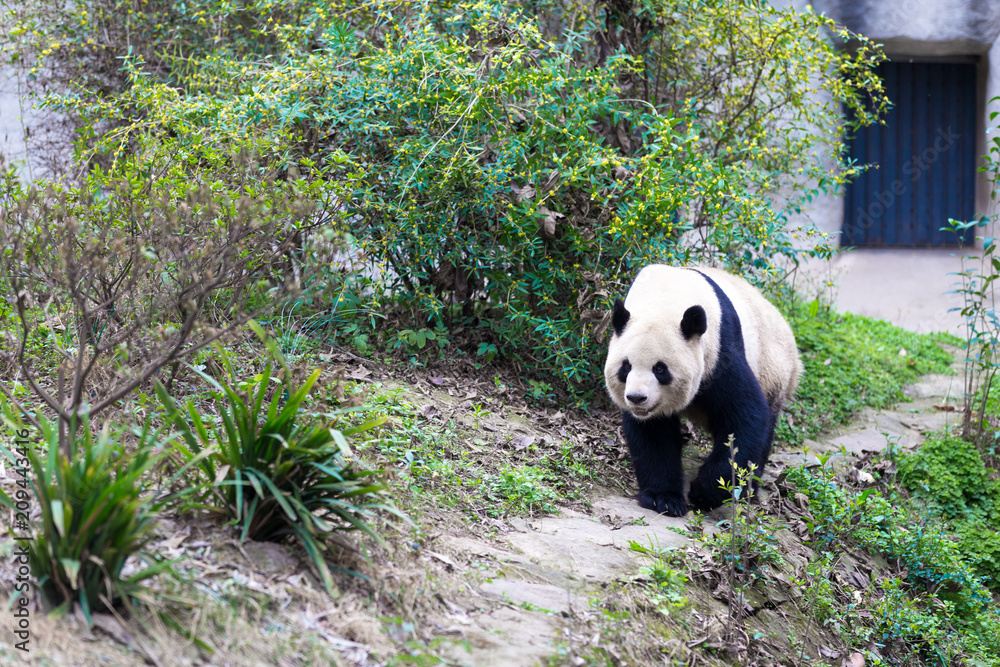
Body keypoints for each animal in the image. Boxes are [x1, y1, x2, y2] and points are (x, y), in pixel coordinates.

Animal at [600, 264, 804, 516]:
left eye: (660, 369)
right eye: (626, 367)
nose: (637, 398)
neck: (665, 297)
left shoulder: (719, 352)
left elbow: (744, 417)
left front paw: (704, 492)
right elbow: (653, 434)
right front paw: (663, 498)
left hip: (773, 369)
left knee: (765, 427)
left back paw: (749, 488)